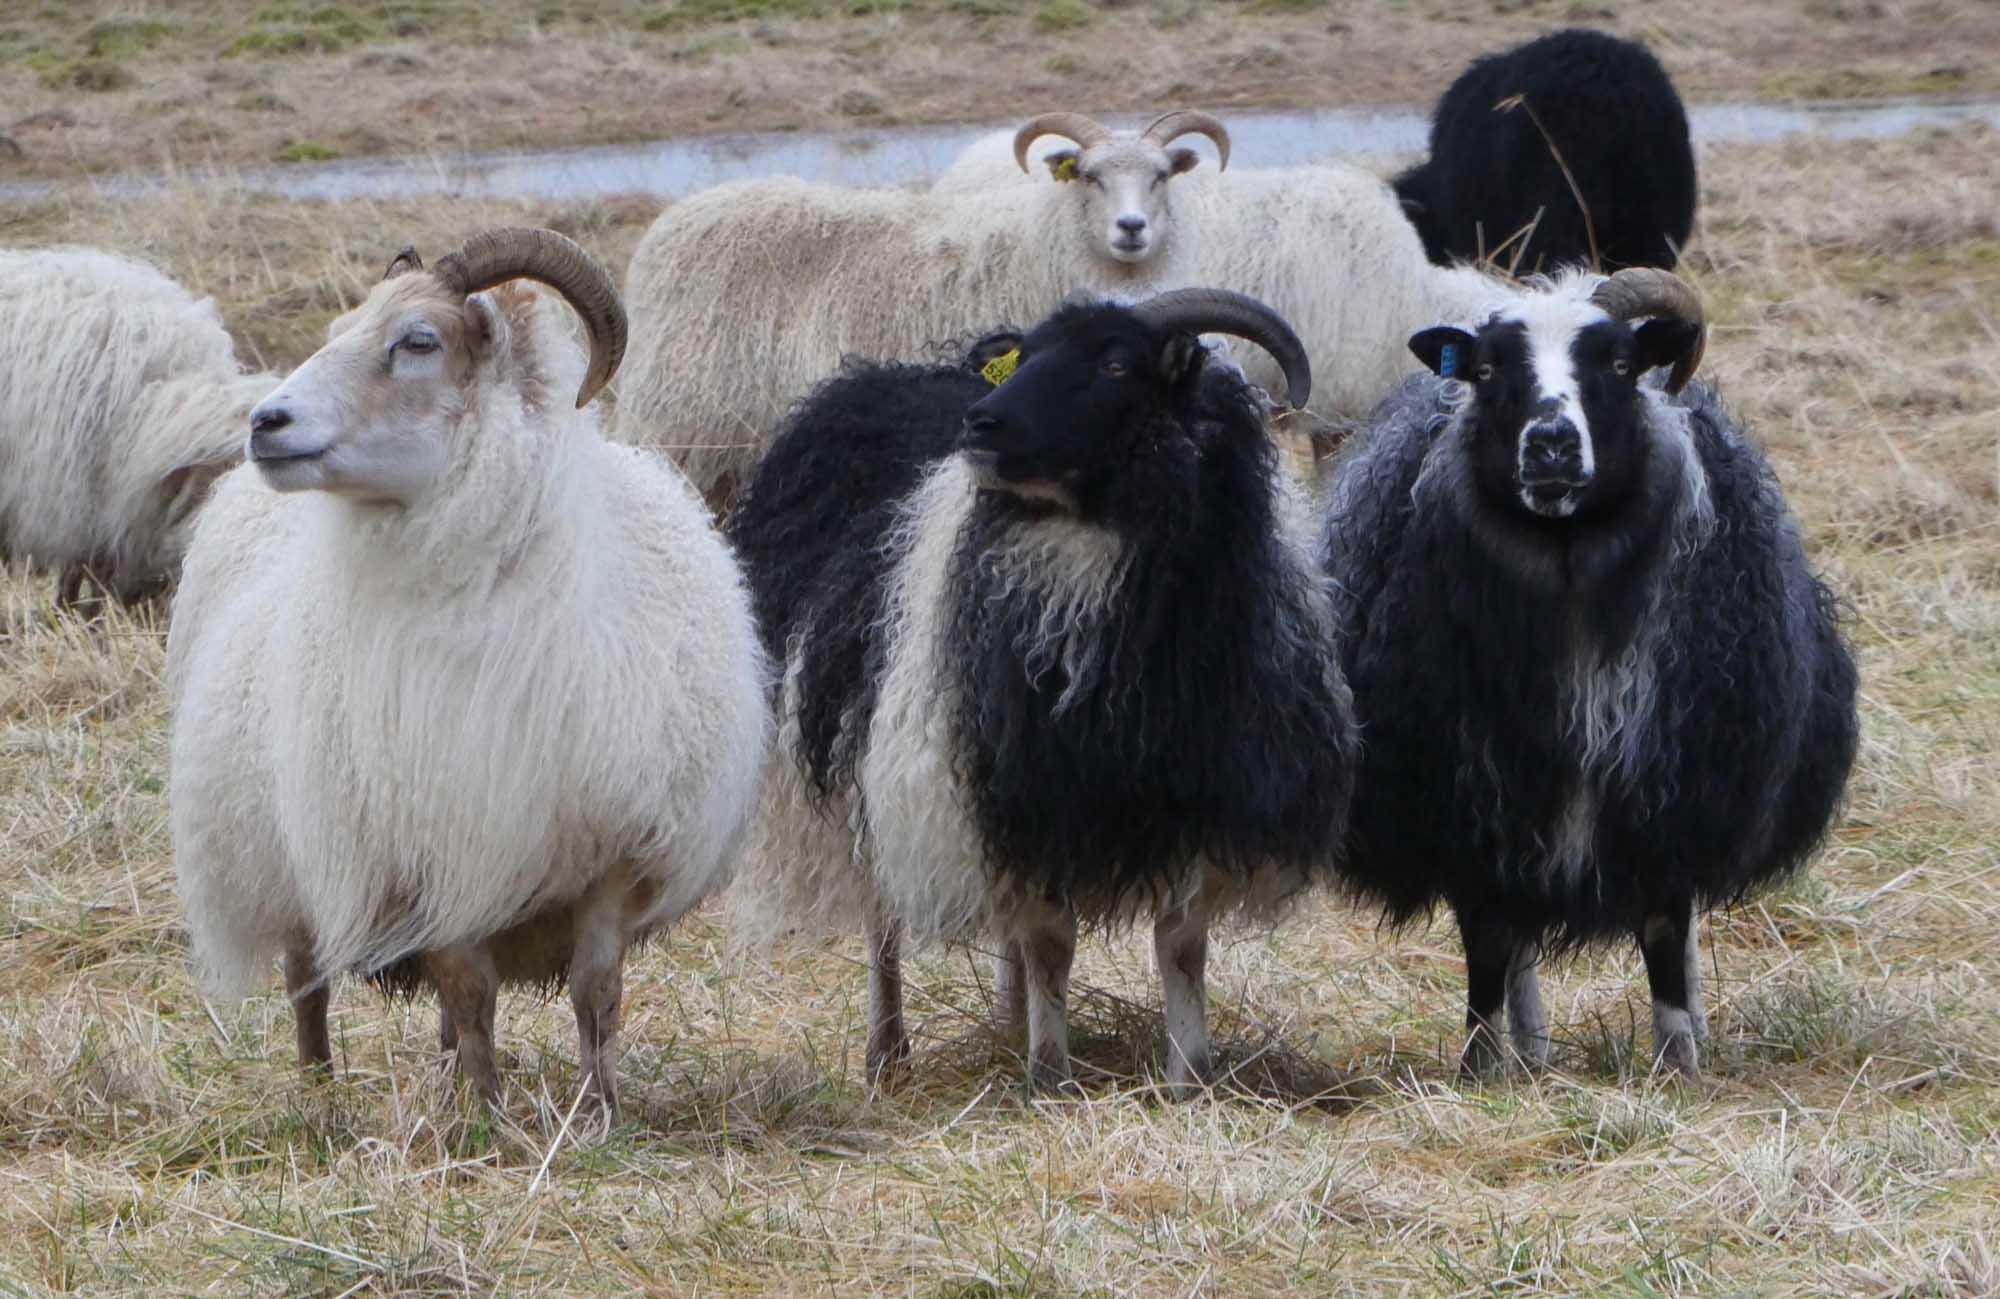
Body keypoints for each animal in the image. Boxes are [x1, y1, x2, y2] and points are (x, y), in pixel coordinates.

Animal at [168, 227, 770, 1121]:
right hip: (288, 848)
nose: (264, 422)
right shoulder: (429, 849)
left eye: (417, 341)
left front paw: (600, 1111)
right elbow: (469, 988)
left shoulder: (607, 853)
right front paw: (484, 1117)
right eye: (338, 327)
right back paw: (321, 1096)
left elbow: (596, 992)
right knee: (307, 982)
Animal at [726, 289, 1358, 1093]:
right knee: (884, 915)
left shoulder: (1198, 793)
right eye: (1025, 356)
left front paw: (1190, 1078)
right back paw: (888, 1052)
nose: (982, 423)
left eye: (1116, 363)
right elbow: (1052, 942)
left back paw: (1007, 1018)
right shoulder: (1025, 788)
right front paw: (1051, 1077)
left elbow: (1181, 945)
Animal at [1323, 268, 1858, 1079]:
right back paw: (1530, 1048)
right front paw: (1480, 1070)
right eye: (1487, 371)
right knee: (1515, 946)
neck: (1569, 569)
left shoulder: (1671, 790)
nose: (1550, 445)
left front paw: (1679, 1065)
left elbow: (1666, 933)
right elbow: (1487, 949)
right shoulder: (1472, 805)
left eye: (1619, 365)